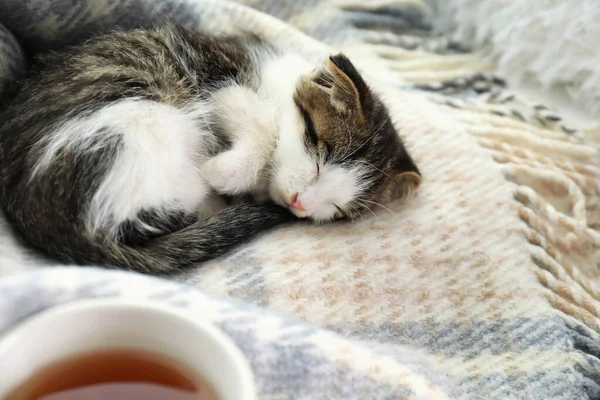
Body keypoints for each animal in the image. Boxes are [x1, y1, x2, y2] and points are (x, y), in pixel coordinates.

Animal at [0, 25, 422, 274]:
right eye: (320, 151)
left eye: (337, 210)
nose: (300, 204)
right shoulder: (215, 70)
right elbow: (260, 121)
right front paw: (223, 171)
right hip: (143, 120)